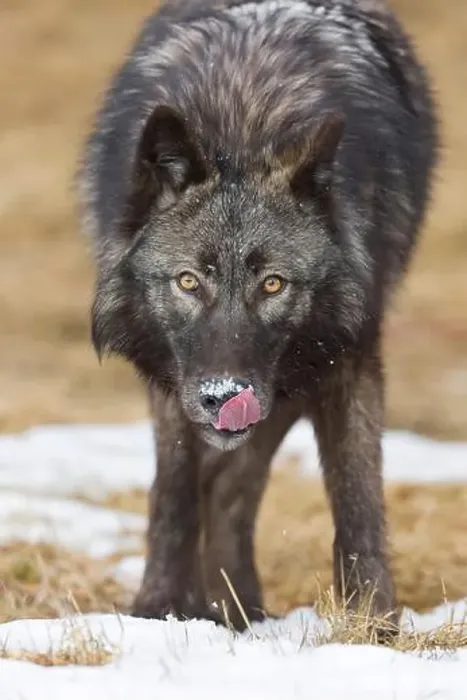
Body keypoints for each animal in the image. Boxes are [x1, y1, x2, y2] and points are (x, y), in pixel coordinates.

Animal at [77, 0, 438, 631]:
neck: (242, 126)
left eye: (273, 284)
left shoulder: (346, 358)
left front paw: (372, 625)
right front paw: (158, 610)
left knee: (235, 486)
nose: (224, 395)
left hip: (288, 382)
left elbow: (358, 496)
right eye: (188, 281)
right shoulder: (172, 378)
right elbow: (173, 491)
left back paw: (237, 608)